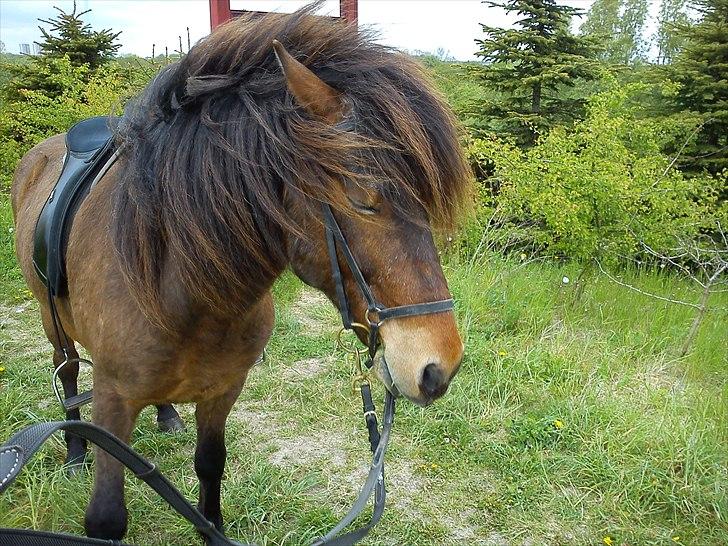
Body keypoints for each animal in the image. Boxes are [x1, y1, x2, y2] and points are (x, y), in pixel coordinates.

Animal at [11, 5, 472, 540]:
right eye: (362, 197)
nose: (439, 368)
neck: (187, 296)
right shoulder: (111, 401)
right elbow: (106, 516)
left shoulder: (223, 391)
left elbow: (210, 466)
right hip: (52, 322)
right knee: (66, 375)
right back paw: (74, 456)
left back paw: (166, 414)